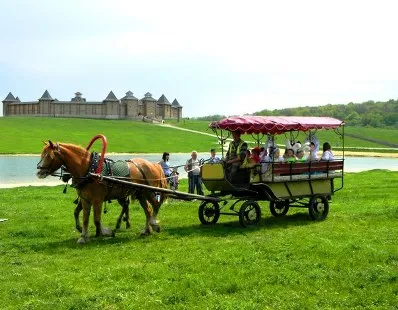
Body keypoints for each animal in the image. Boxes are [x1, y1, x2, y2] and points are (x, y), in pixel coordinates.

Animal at [37, 141, 168, 245]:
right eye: (42, 154)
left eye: (49, 155)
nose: (39, 172)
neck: (89, 170)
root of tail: (154, 165)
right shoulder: (85, 200)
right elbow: (85, 218)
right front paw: (83, 237)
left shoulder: (97, 200)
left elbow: (96, 219)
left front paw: (106, 232)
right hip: (141, 193)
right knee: (148, 210)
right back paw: (147, 230)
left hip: (149, 191)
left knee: (155, 205)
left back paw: (153, 224)